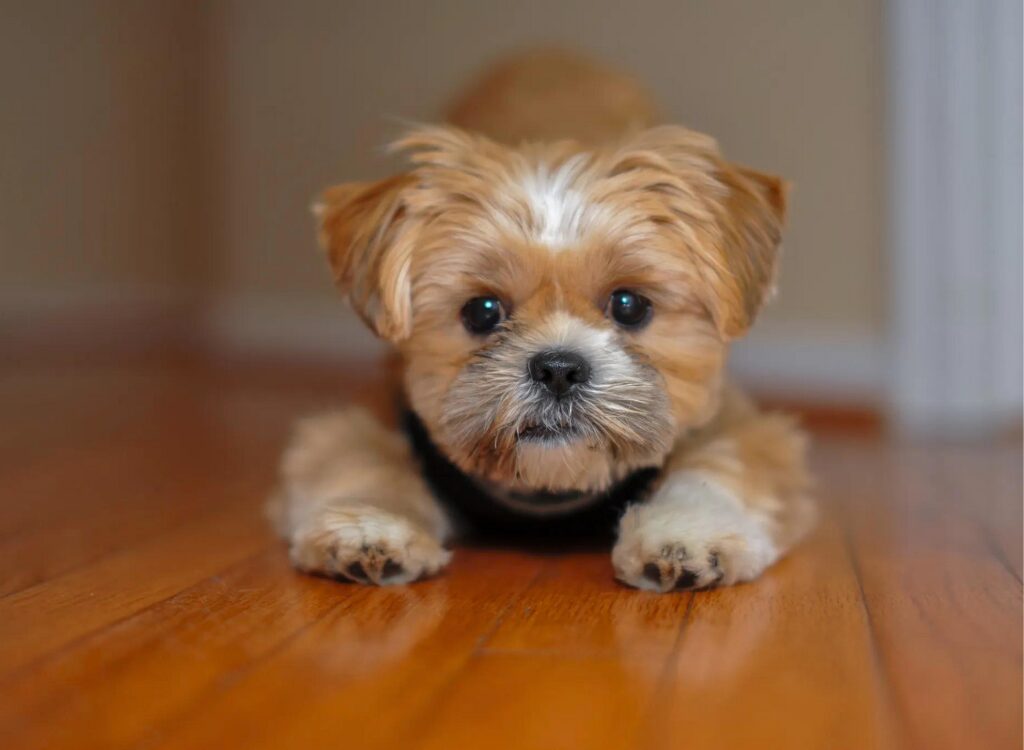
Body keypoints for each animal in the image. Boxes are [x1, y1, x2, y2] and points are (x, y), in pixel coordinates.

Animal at [270, 51, 815, 590]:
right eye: (482, 311)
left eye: (629, 305)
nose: (558, 369)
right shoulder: (375, 411)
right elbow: (363, 460)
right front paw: (371, 525)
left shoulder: (736, 421)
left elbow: (718, 464)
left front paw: (686, 531)